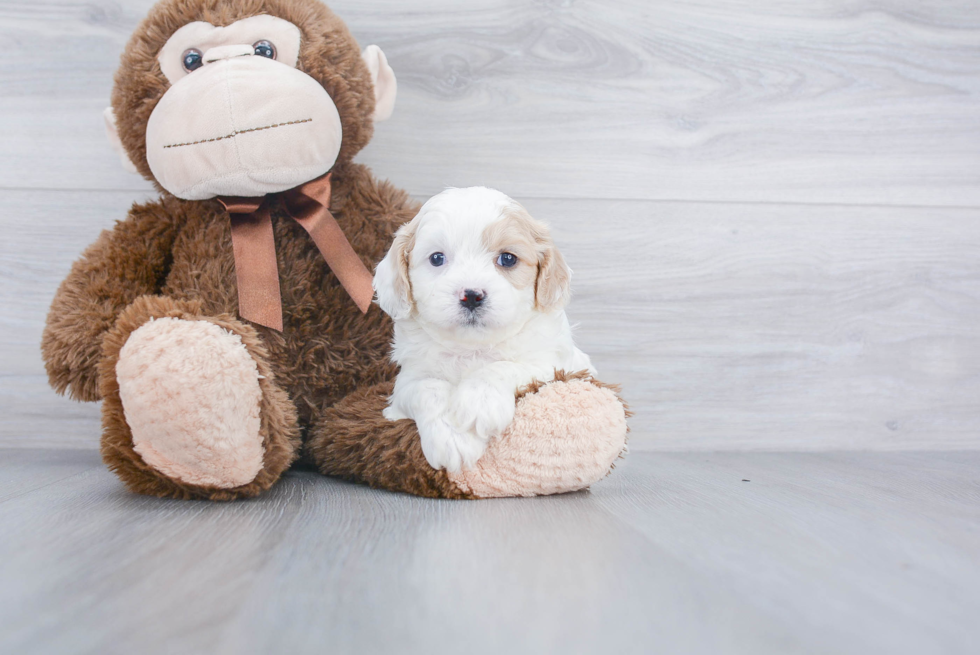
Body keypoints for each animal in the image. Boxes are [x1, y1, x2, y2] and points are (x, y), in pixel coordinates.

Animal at [374, 188, 588, 472]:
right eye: (437, 258)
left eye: (508, 259)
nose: (472, 295)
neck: (471, 350)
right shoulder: (406, 383)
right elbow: (427, 388)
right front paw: (452, 436)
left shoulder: (555, 366)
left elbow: (504, 367)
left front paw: (479, 402)